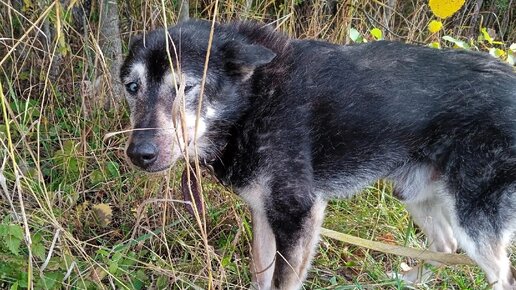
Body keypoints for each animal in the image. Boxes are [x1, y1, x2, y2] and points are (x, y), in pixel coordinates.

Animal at [121, 19, 516, 288]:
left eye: (186, 87)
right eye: (132, 87)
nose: (139, 153)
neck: (253, 101)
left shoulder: (299, 214)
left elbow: (282, 281)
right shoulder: (264, 212)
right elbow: (260, 274)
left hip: (474, 219)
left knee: (500, 275)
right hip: (416, 194)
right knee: (447, 246)